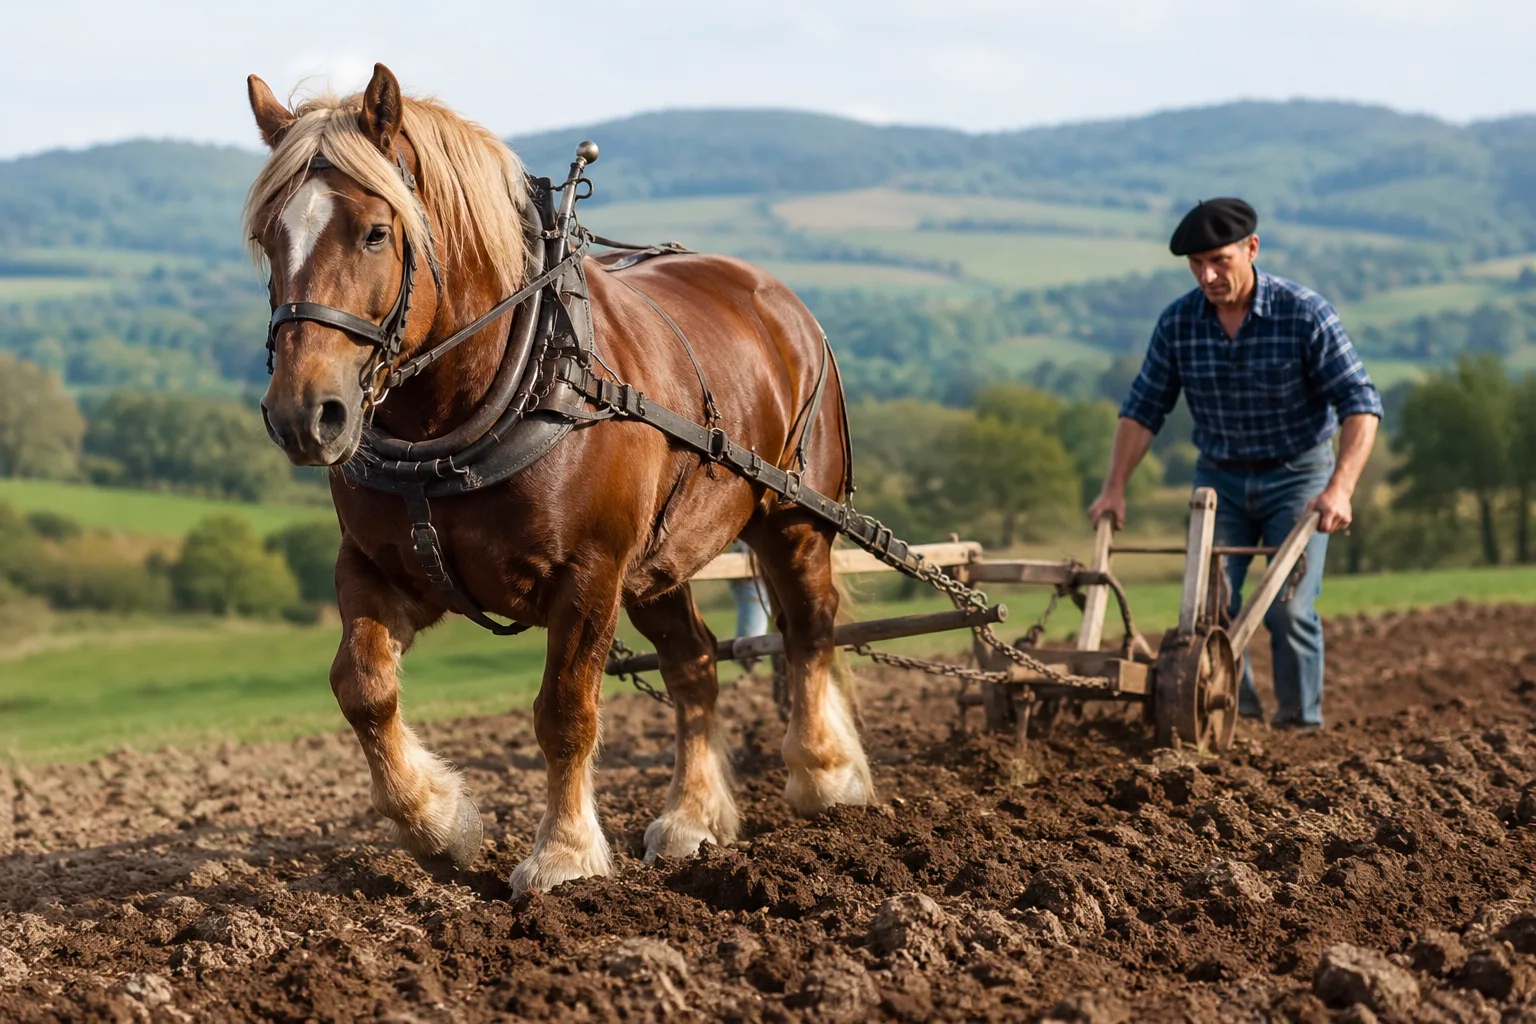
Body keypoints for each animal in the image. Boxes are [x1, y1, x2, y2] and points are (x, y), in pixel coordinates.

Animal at [243, 63, 873, 893]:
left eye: (375, 232)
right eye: (268, 238)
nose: (303, 413)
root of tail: (778, 298)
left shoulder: (589, 573)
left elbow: (565, 712)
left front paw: (563, 854)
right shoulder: (379, 569)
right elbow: (363, 688)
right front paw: (438, 823)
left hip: (791, 521)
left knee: (809, 631)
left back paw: (825, 775)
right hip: (660, 563)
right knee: (695, 665)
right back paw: (692, 816)